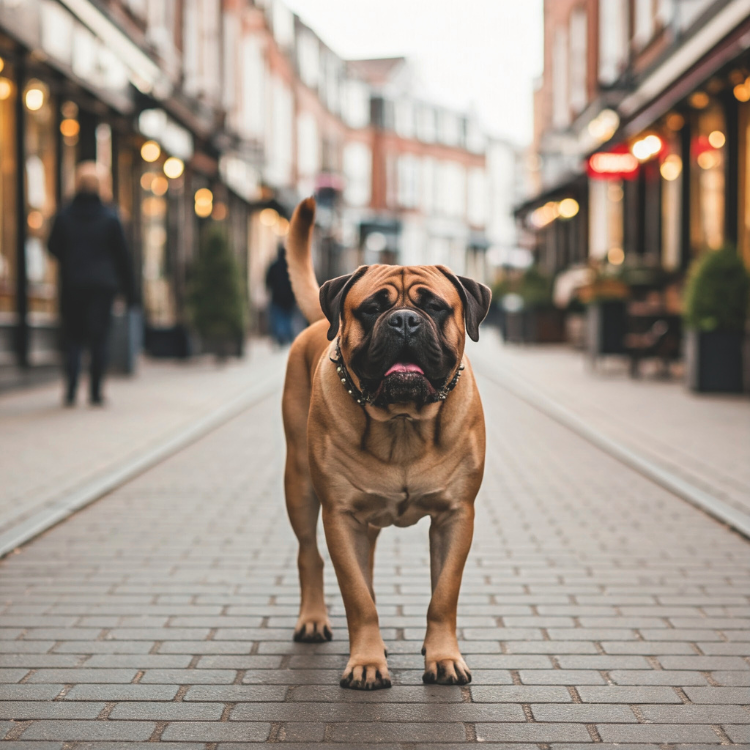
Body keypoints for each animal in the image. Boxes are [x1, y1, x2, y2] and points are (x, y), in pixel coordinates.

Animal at [282, 197, 494, 692]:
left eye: (435, 307)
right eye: (370, 308)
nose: (403, 320)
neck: (401, 421)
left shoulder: (456, 516)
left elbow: (444, 594)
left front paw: (443, 657)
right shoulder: (340, 516)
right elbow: (357, 596)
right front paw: (366, 662)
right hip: (299, 485)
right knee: (310, 556)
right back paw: (314, 620)